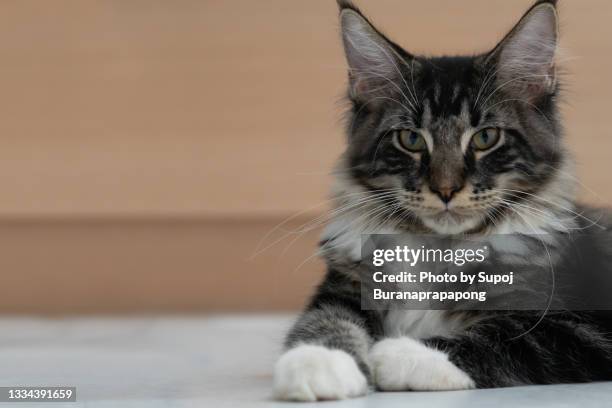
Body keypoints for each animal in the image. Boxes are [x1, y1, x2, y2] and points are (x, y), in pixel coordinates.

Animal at [274, 0, 612, 402]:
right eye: (411, 139)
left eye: (485, 138)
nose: (446, 189)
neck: (437, 249)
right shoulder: (345, 288)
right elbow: (322, 320)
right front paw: (318, 362)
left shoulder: (580, 324)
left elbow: (511, 339)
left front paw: (402, 354)